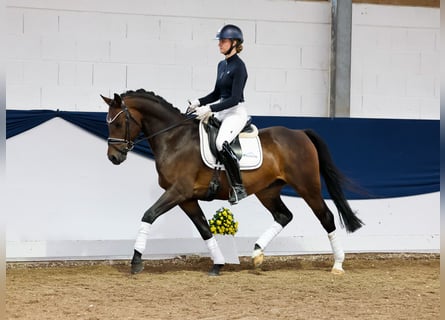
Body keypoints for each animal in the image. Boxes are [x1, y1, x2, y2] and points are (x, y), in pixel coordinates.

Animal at [102, 89, 362, 276]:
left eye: (117, 123)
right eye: (108, 123)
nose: (113, 157)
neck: (174, 139)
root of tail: (300, 133)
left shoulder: (178, 191)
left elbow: (149, 215)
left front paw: (136, 262)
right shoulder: (186, 198)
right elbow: (204, 228)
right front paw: (218, 264)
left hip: (307, 186)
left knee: (326, 217)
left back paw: (338, 265)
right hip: (268, 191)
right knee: (284, 216)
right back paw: (257, 254)